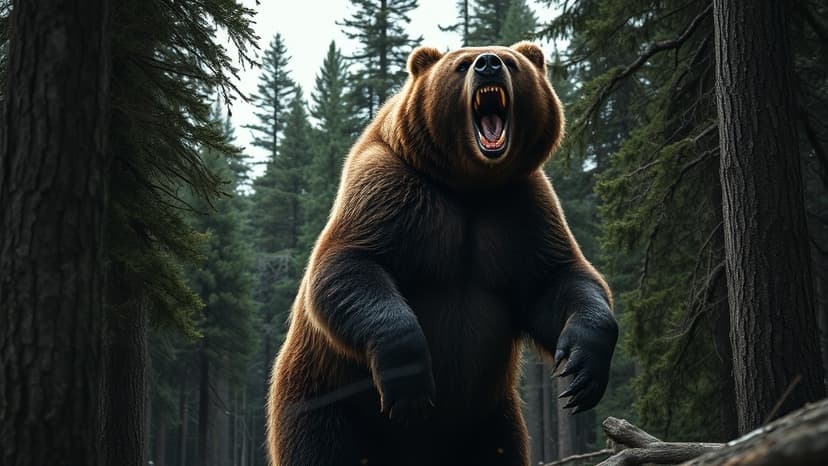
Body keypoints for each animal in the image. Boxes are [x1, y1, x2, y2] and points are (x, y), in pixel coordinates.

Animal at [266, 42, 618, 466]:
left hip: (489, 417)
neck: (469, 186)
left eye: (511, 61)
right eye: (462, 64)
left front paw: (582, 369)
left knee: (501, 449)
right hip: (324, 399)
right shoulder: (392, 193)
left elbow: (557, 281)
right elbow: (349, 266)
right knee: (321, 448)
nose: (488, 64)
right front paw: (409, 379)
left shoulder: (520, 211)